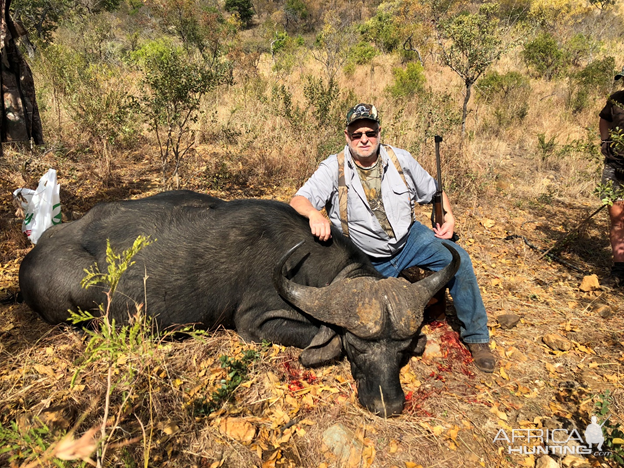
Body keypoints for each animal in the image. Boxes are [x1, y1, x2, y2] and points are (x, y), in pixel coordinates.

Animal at [20, 190, 458, 416]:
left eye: (400, 350)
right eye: (357, 347)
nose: (391, 405)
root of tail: (32, 259)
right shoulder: (253, 322)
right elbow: (321, 335)